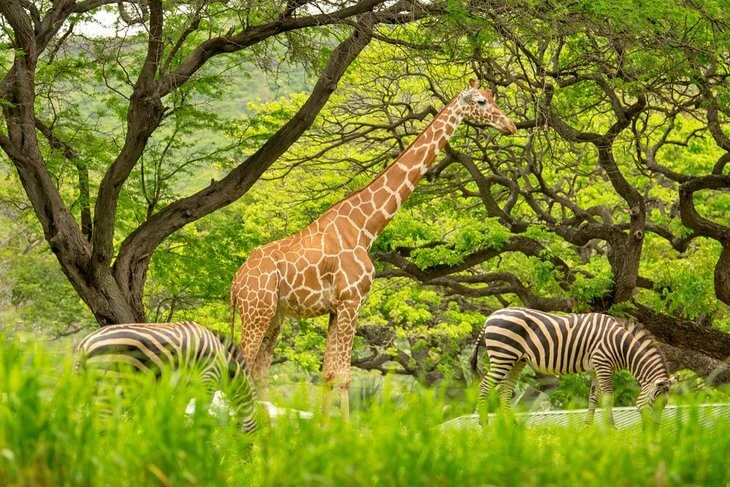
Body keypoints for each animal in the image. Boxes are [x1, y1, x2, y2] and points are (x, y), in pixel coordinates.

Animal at [73, 322, 258, 432]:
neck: (225, 363)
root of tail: (84, 345)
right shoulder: (208, 381)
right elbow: (201, 420)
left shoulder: (184, 390)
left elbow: (177, 416)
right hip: (110, 387)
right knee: (100, 425)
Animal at [230, 80, 516, 420]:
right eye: (481, 102)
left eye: (494, 97)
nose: (510, 126)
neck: (365, 227)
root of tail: (235, 281)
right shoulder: (351, 301)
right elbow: (344, 375)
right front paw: (344, 429)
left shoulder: (335, 307)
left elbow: (328, 374)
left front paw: (324, 428)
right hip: (256, 310)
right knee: (241, 367)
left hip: (274, 316)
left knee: (258, 371)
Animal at [470, 308, 672, 428]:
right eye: (654, 402)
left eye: (665, 404)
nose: (655, 431)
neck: (621, 344)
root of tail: (490, 317)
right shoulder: (603, 363)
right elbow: (608, 396)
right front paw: (611, 427)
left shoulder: (596, 367)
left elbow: (593, 397)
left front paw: (588, 426)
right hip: (503, 355)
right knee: (485, 386)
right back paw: (484, 422)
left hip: (517, 360)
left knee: (505, 390)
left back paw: (511, 424)